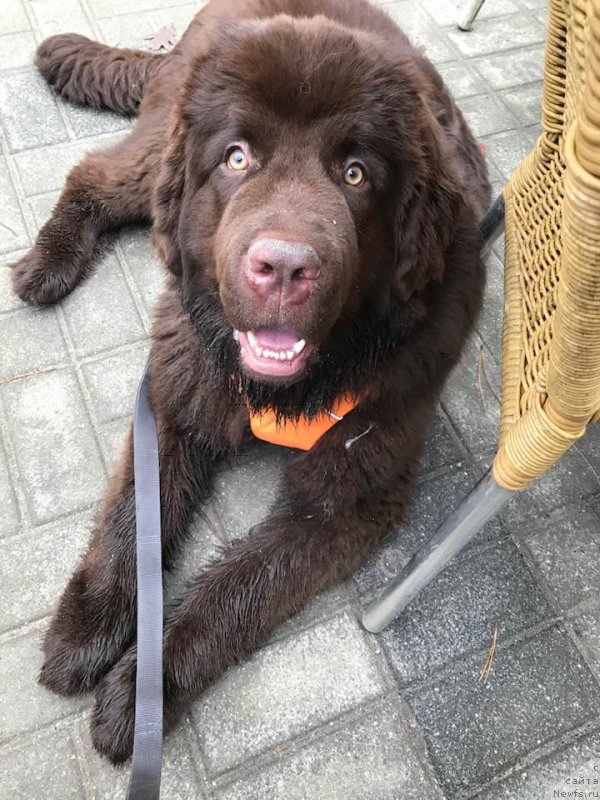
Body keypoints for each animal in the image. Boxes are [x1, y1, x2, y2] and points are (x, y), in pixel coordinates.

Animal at [12, 0, 492, 764]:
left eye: (356, 174)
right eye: (237, 158)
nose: (285, 267)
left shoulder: (353, 491)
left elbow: (244, 584)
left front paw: (142, 691)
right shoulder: (175, 390)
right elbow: (134, 511)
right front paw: (87, 626)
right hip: (156, 149)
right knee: (94, 174)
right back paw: (47, 263)